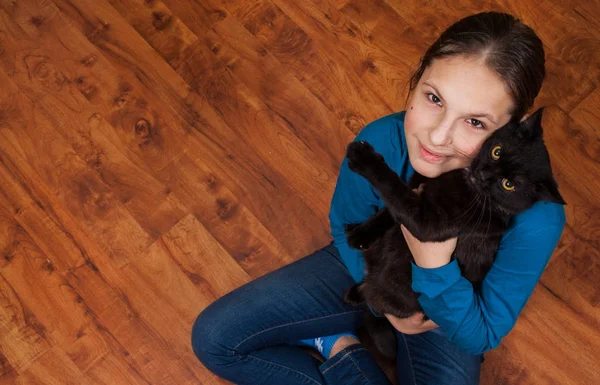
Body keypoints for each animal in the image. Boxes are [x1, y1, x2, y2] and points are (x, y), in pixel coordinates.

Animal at [344, 108, 564, 356]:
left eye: (509, 184)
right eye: (497, 152)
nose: (485, 174)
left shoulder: (427, 220)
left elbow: (393, 189)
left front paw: (364, 158)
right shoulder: (417, 185)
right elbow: (389, 211)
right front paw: (360, 236)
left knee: (373, 297)